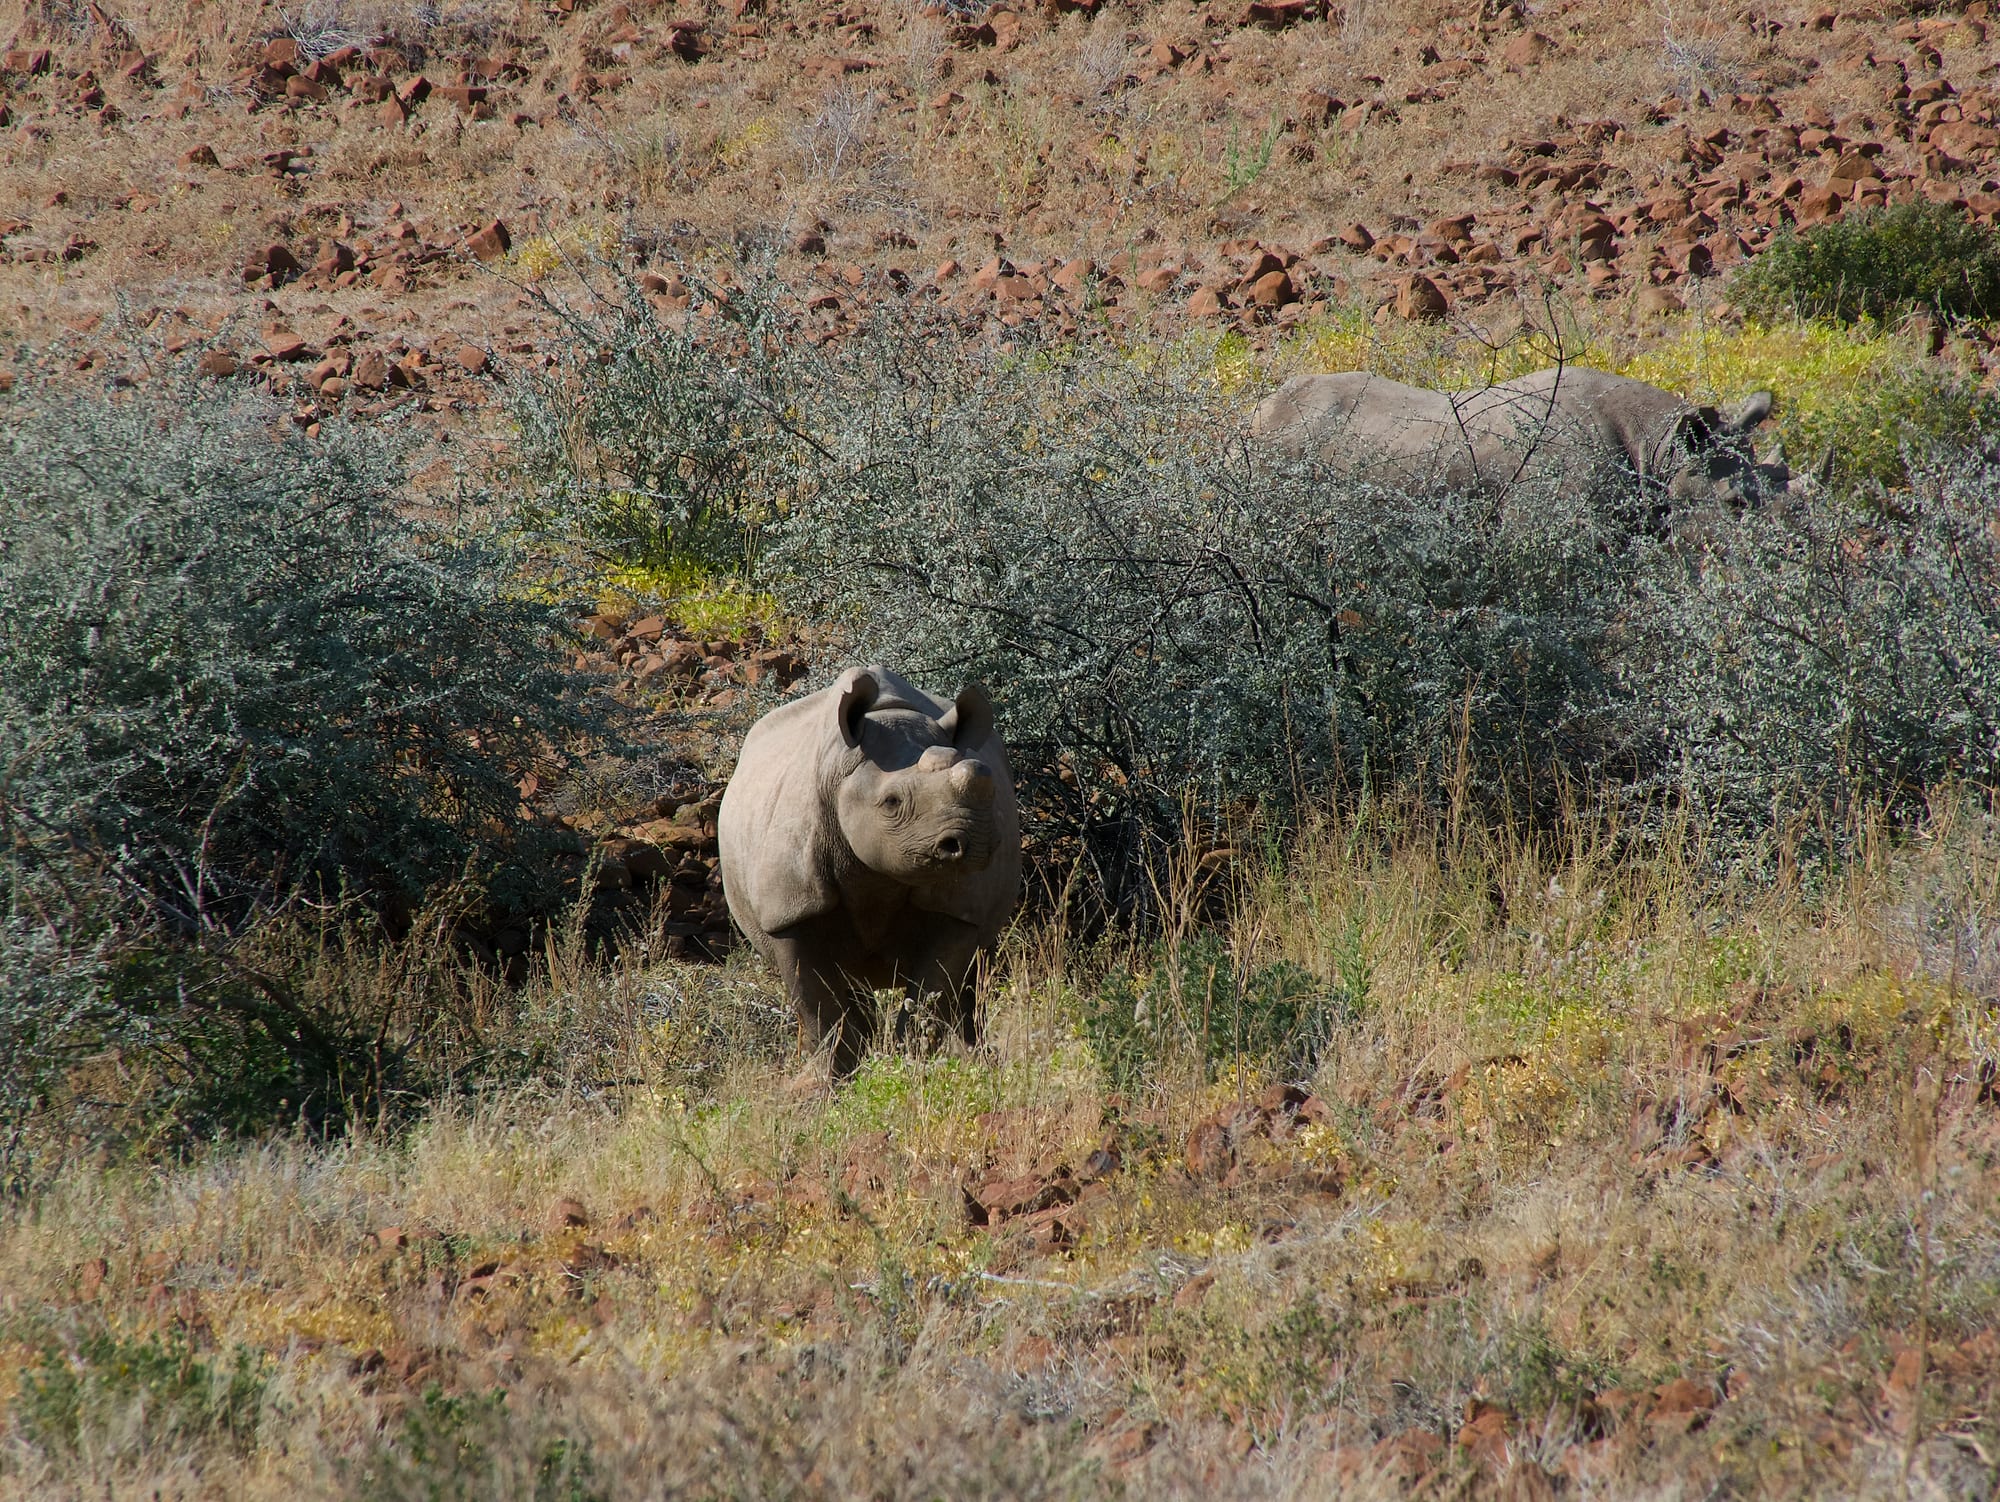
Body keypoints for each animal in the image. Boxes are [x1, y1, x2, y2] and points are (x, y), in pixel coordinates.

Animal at [717, 664, 1021, 1076]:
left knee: (978, 968)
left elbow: (931, 995)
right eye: (891, 802)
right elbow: (817, 1008)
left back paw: (980, 1060)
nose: (973, 842)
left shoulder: (957, 907)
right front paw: (828, 1079)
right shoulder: (790, 909)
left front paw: (913, 1067)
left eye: (987, 787)